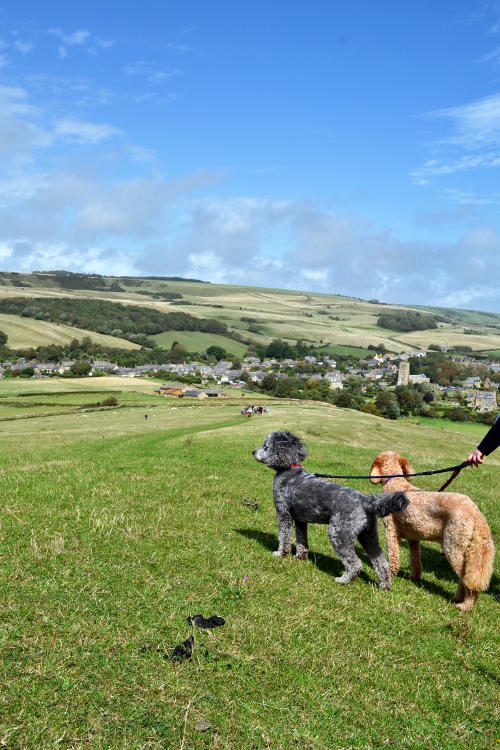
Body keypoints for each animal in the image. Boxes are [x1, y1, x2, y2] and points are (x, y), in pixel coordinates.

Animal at [254, 432, 410, 592]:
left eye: (266, 446)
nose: (253, 452)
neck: (289, 469)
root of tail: (366, 501)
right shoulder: (301, 520)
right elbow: (301, 541)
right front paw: (300, 557)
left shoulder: (283, 514)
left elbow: (284, 536)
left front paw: (281, 554)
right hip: (369, 535)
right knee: (381, 562)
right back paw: (384, 585)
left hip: (339, 534)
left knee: (355, 564)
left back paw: (343, 580)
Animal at [370, 452, 494, 612]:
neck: (395, 482)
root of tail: (476, 512)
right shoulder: (413, 538)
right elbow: (415, 560)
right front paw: (415, 577)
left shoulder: (391, 531)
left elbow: (393, 559)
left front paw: (386, 580)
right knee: (464, 578)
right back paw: (457, 598)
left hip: (453, 547)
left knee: (466, 581)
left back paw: (466, 605)